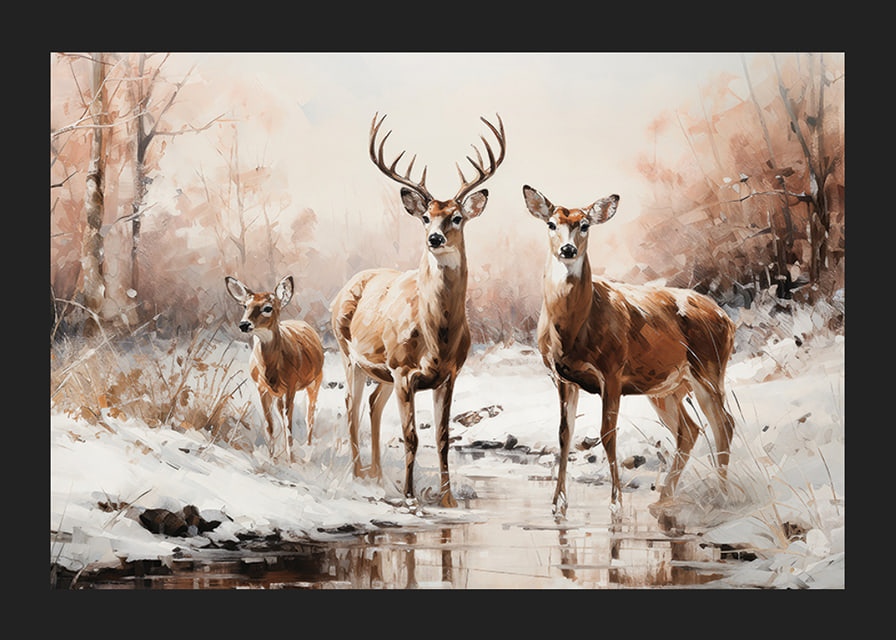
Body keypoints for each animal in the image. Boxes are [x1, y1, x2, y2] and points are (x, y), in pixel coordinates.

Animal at [225, 275, 324, 461]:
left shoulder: (292, 385)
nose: (244, 324)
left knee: (310, 416)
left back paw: (308, 451)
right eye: (245, 305)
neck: (270, 371)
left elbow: (289, 424)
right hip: (279, 394)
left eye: (268, 308)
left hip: (316, 380)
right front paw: (272, 458)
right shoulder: (261, 388)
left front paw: (290, 460)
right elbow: (269, 425)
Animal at [330, 113, 506, 508]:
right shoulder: (403, 370)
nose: (435, 239)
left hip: (380, 373)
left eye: (456, 217)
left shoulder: (449, 374)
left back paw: (378, 478)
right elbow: (411, 436)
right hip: (349, 354)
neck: (437, 336)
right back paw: (357, 477)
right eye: (426, 217)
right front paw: (411, 499)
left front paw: (448, 500)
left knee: (372, 406)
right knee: (351, 406)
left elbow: (442, 438)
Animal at [522, 185, 736, 518]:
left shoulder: (611, 370)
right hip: (666, 388)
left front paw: (616, 503)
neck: (571, 333)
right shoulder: (562, 377)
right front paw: (558, 504)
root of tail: (726, 318)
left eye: (585, 225)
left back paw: (721, 495)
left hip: (709, 368)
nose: (568, 250)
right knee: (689, 430)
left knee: (723, 424)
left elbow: (607, 434)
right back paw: (664, 498)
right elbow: (564, 434)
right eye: (551, 224)